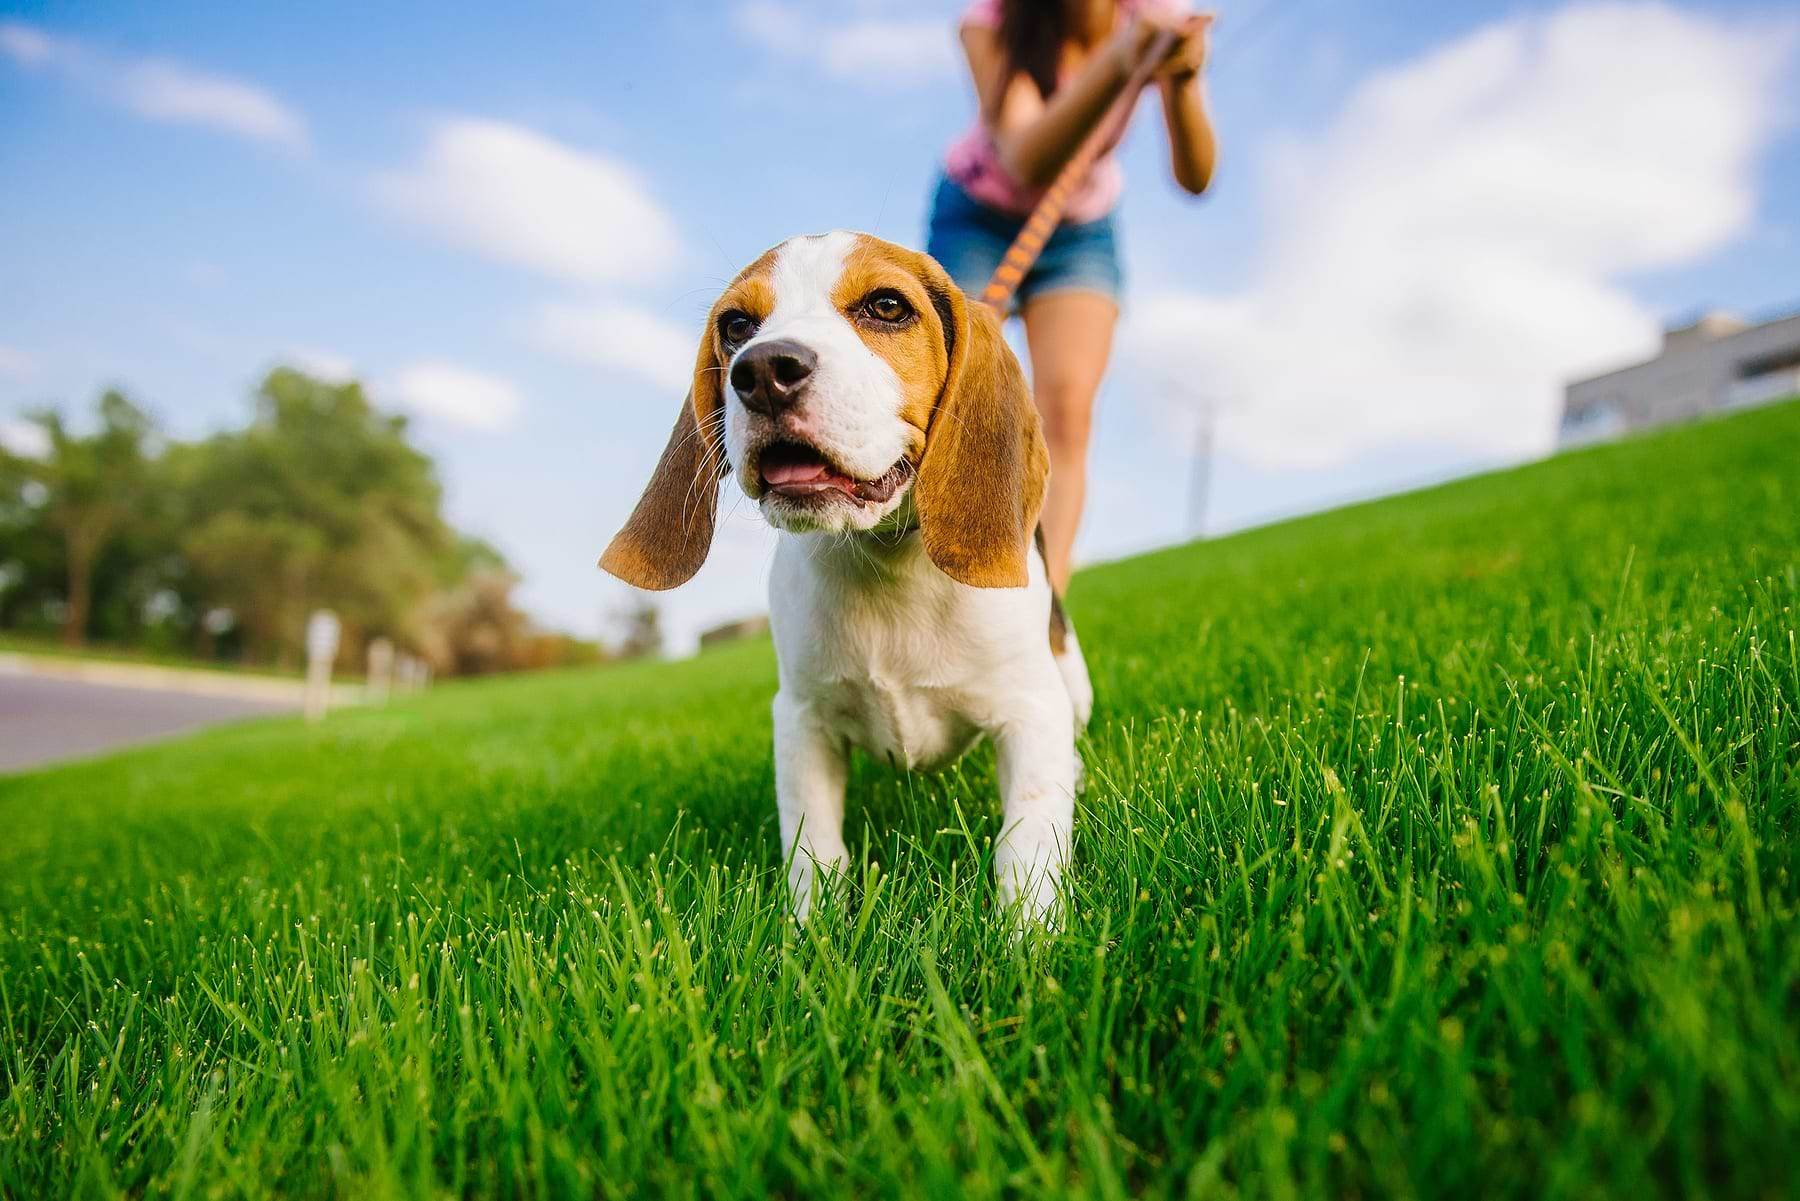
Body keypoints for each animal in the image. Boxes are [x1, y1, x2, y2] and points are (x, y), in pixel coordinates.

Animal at [597, 234, 1087, 929]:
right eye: (736, 326)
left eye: (887, 306)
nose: (761, 370)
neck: (885, 560)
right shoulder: (801, 720)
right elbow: (814, 847)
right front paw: (810, 935)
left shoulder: (1030, 709)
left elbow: (1028, 840)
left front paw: (1030, 940)